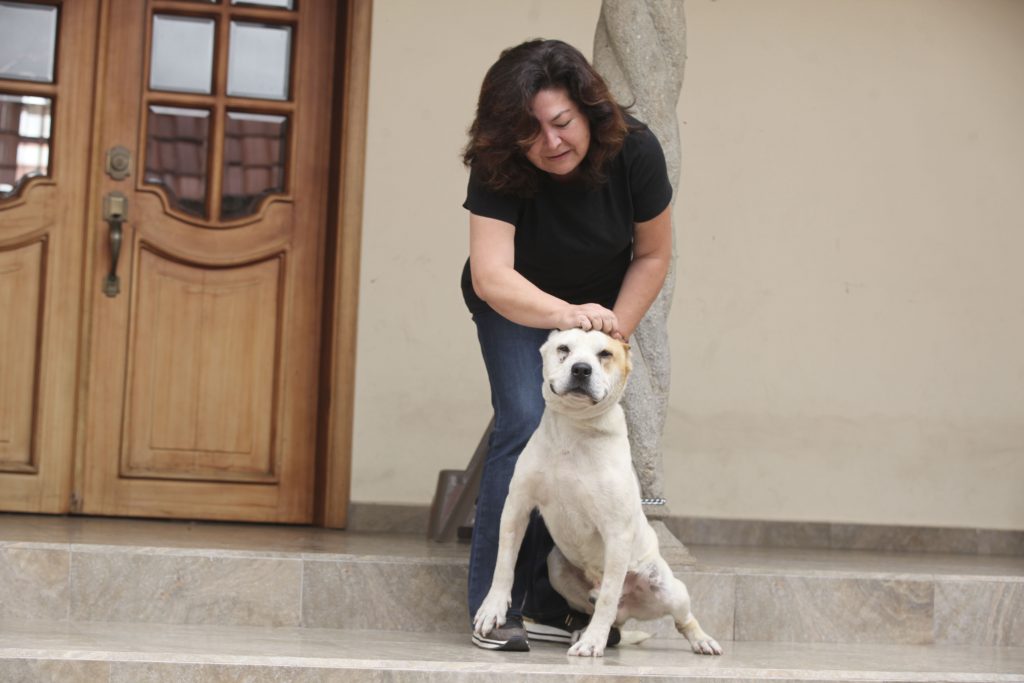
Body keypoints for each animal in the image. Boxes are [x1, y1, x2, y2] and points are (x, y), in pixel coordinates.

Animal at [473, 328, 722, 657]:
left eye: (605, 354)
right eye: (564, 348)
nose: (581, 369)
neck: (574, 429)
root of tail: (627, 612)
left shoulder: (616, 533)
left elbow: (607, 597)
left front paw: (593, 644)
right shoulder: (517, 507)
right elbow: (504, 563)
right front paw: (493, 609)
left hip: (670, 589)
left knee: (679, 618)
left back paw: (701, 640)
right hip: (556, 567)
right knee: (595, 607)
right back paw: (585, 630)